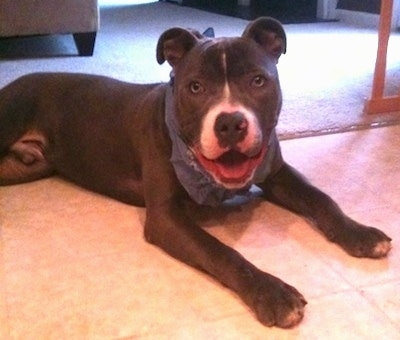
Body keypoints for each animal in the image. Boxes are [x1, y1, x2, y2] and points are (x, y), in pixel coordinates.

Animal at [0, 17, 392, 326]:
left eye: (258, 81)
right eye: (195, 87)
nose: (231, 123)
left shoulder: (277, 174)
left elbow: (322, 199)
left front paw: (360, 233)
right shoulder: (165, 217)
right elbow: (220, 251)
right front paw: (271, 292)